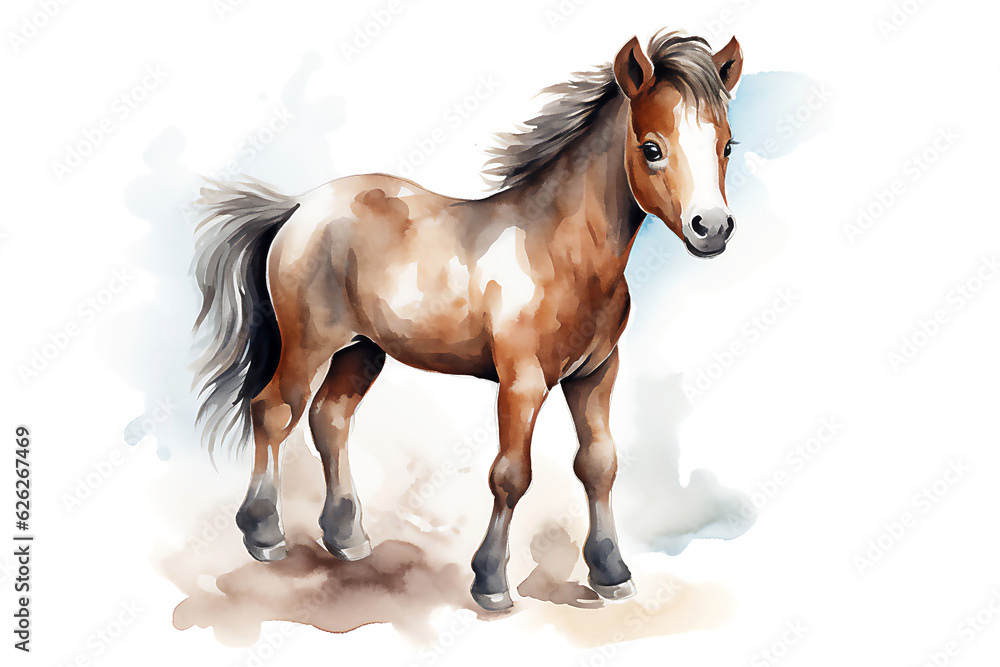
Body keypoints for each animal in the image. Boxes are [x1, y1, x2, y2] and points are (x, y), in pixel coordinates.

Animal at [192, 30, 743, 611]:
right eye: (652, 148)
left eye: (727, 145)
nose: (712, 228)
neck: (560, 252)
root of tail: (298, 206)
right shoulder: (522, 383)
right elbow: (511, 475)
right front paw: (491, 581)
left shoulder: (595, 374)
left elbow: (598, 464)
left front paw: (611, 571)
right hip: (308, 345)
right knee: (275, 411)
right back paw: (263, 534)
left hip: (362, 351)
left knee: (330, 419)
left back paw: (347, 538)